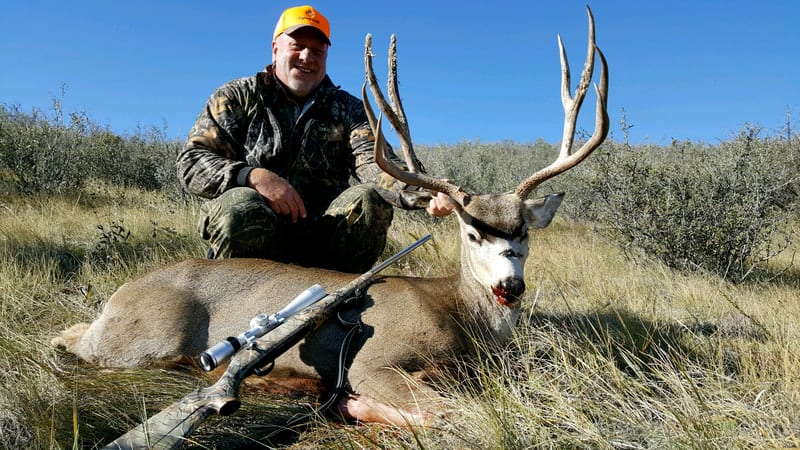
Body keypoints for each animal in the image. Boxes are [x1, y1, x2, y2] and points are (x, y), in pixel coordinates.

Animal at [51, 7, 608, 429]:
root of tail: (120, 294)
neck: (460, 315)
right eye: (473, 232)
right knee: (69, 338)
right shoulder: (376, 361)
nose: (510, 286)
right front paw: (356, 404)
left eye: (523, 231)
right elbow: (448, 412)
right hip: (143, 338)